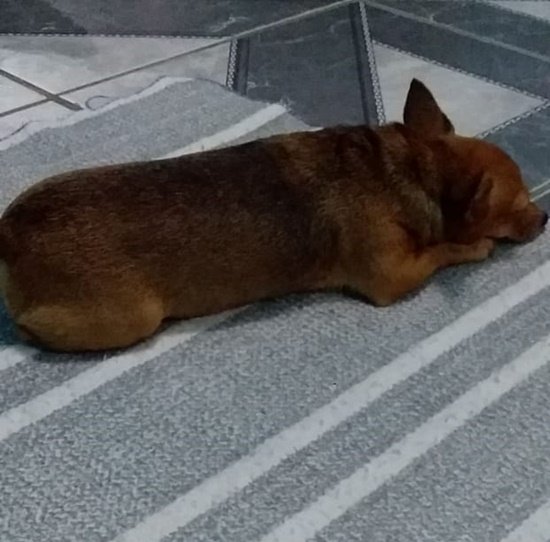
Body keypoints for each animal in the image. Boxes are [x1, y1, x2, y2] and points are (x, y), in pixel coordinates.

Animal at [0, 79, 546, 352]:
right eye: (519, 202)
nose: (544, 219)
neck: (410, 167)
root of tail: (8, 231)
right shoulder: (393, 276)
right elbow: (442, 251)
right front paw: (474, 245)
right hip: (133, 317)